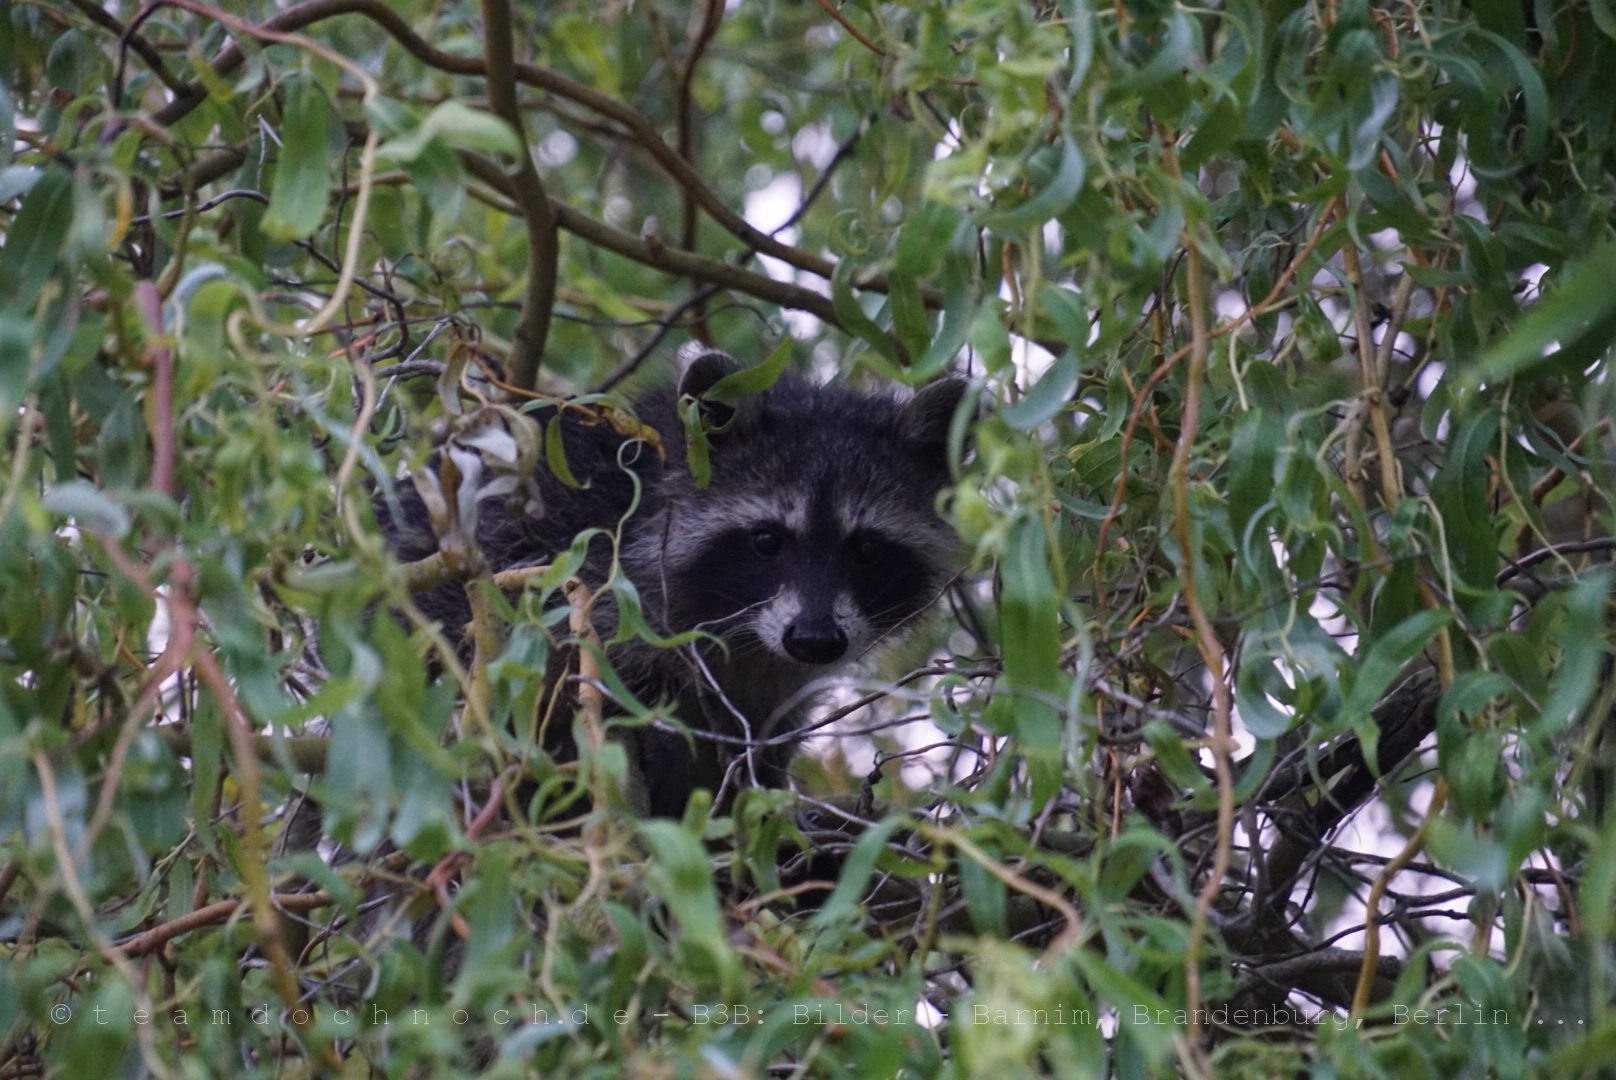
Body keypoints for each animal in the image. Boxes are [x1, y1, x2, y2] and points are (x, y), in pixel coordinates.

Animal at [387, 354, 969, 818]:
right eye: (767, 540)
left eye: (867, 548)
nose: (814, 640)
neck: (746, 636)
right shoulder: (591, 562)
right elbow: (589, 674)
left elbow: (764, 736)